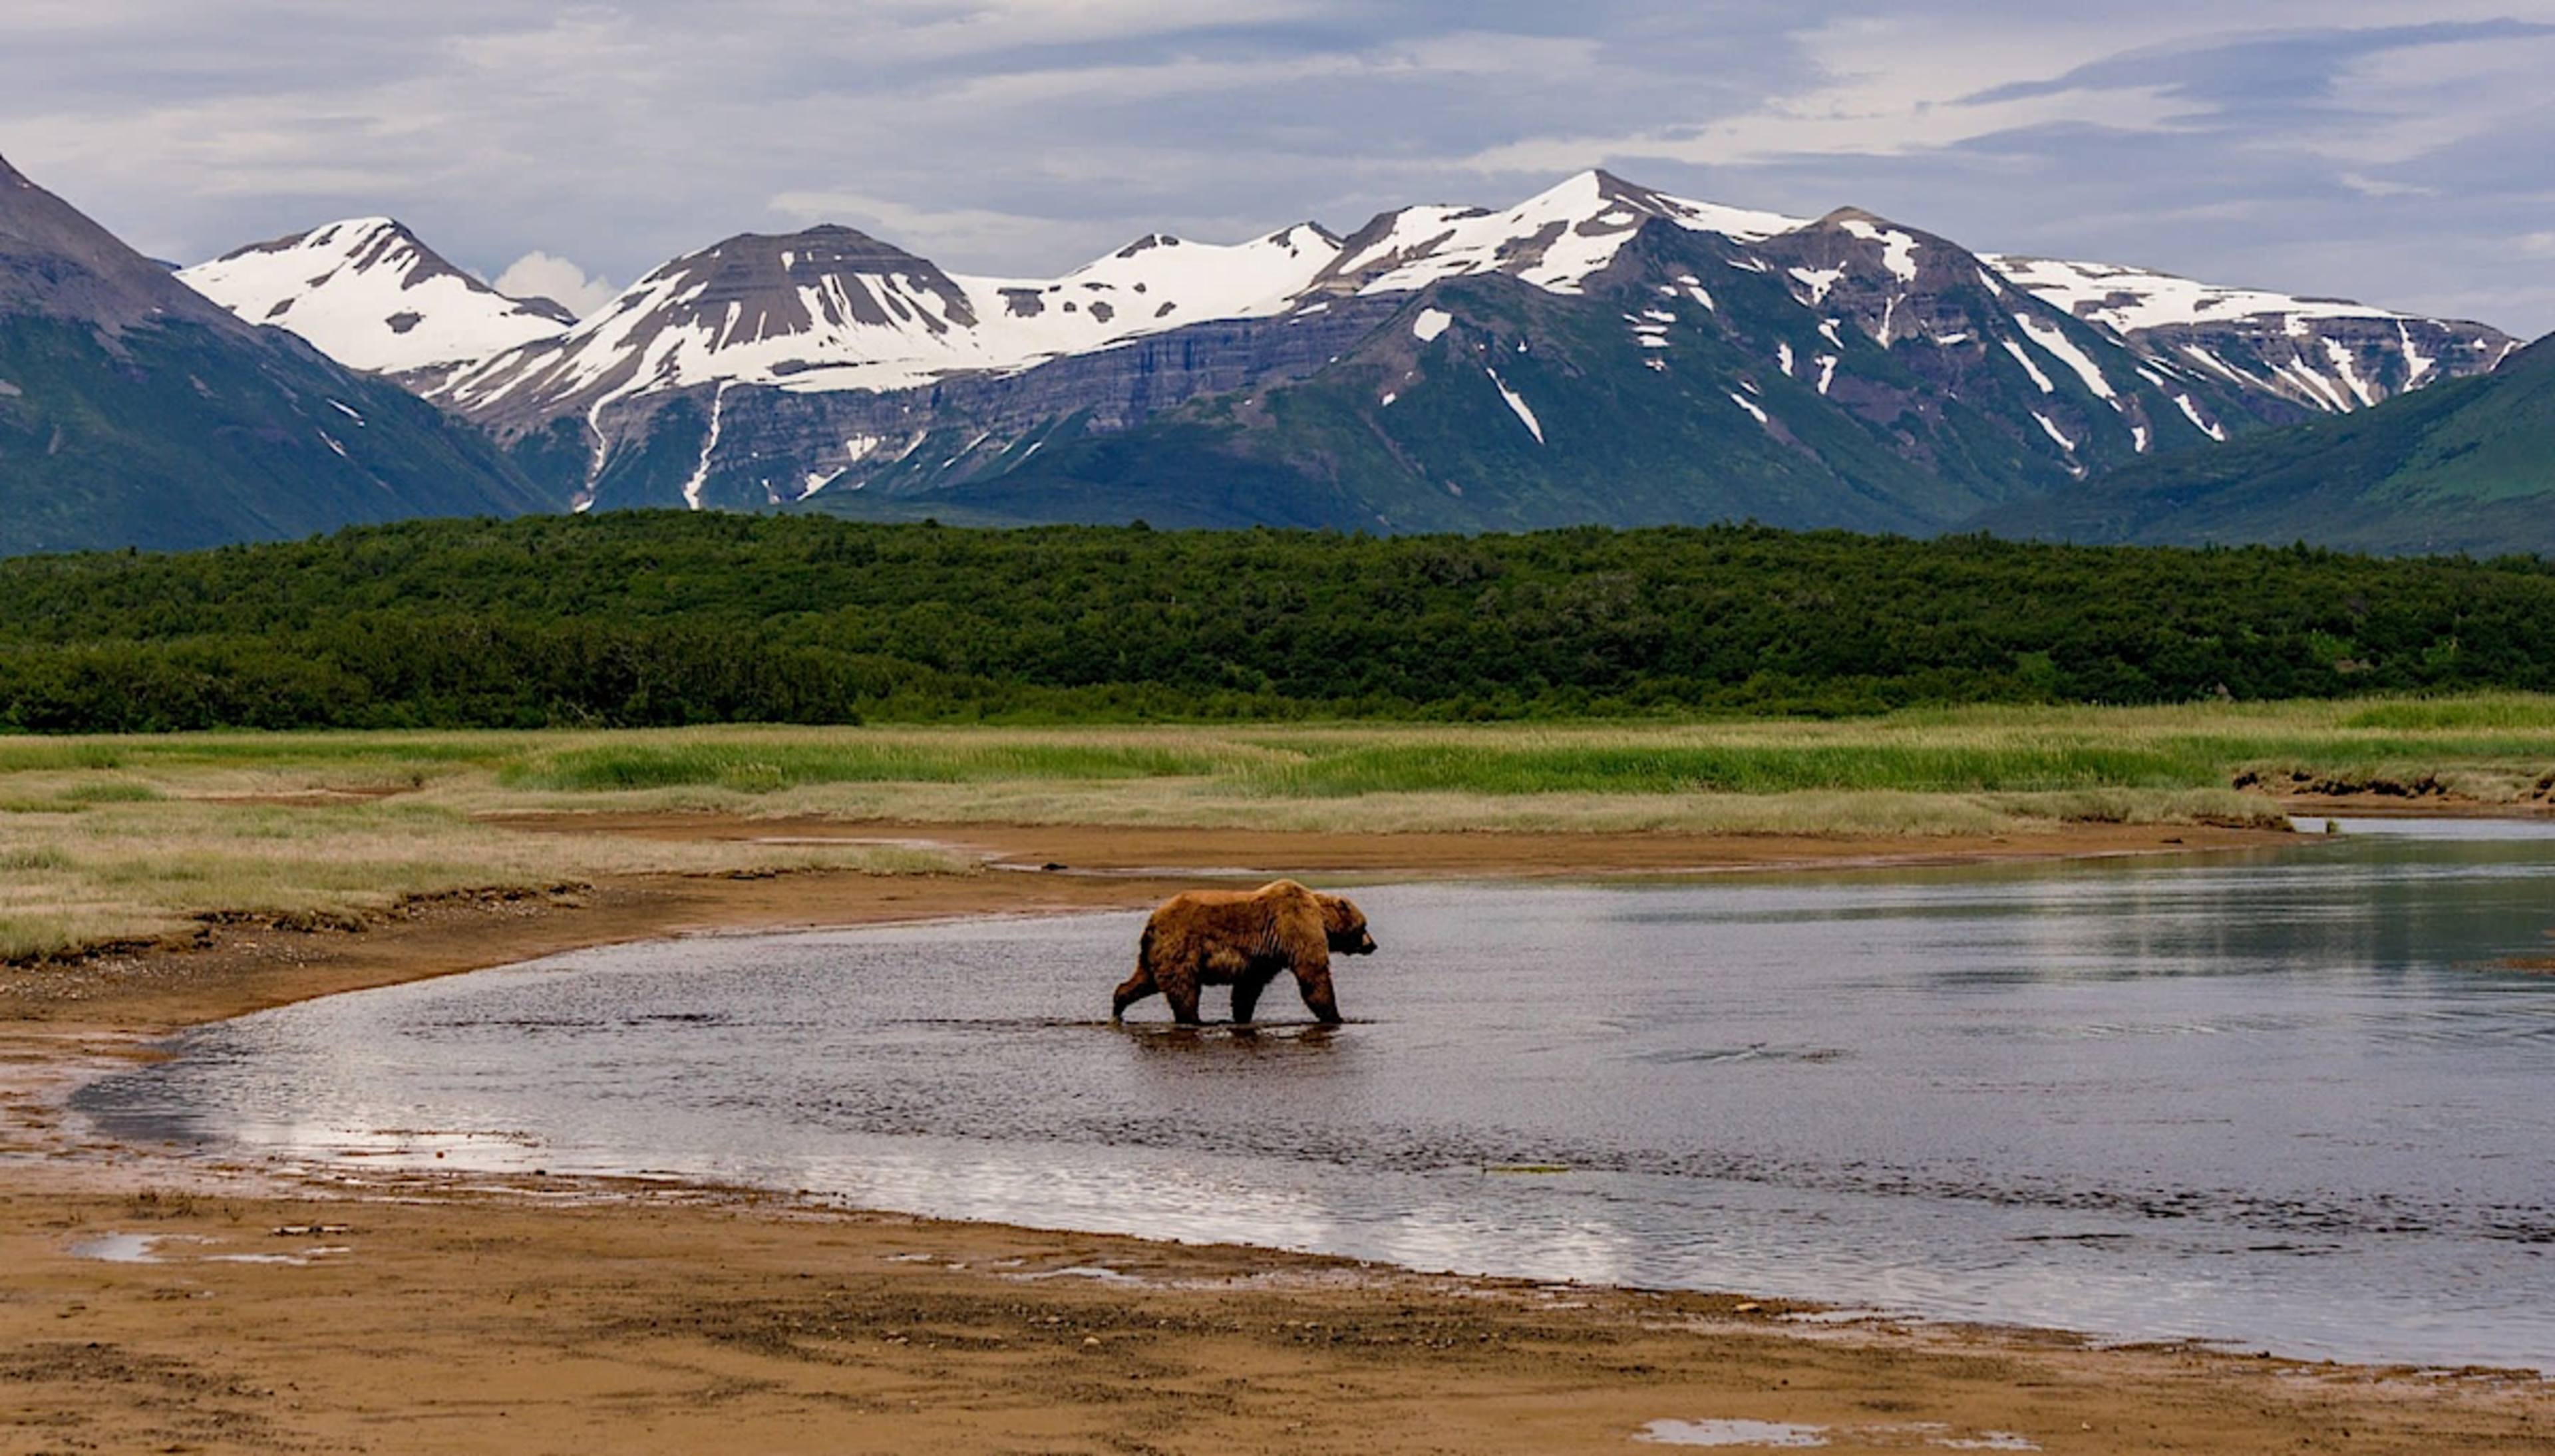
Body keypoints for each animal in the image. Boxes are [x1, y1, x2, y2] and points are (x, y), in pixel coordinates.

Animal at [1111, 879, 1377, 1026]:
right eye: (1364, 925)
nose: (1372, 945)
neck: (1320, 915)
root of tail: (1152, 920)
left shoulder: (1266, 954)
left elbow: (1248, 987)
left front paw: (1242, 1015)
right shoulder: (1296, 928)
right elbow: (1313, 974)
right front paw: (1336, 1016)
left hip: (1157, 952)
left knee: (1143, 981)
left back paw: (1118, 1007)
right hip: (1181, 945)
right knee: (1183, 987)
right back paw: (1194, 1019)